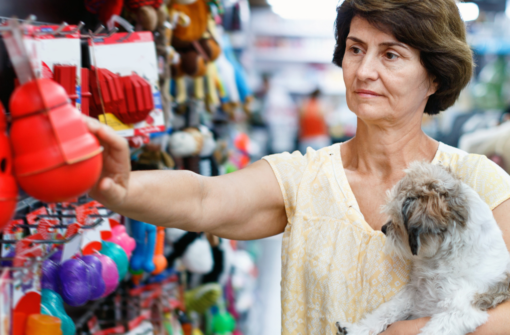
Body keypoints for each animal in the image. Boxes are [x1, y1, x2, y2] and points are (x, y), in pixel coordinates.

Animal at [336, 162, 508, 335]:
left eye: (398, 220)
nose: (384, 228)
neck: (442, 259)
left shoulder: (460, 310)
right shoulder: (414, 292)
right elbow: (385, 311)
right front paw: (355, 329)